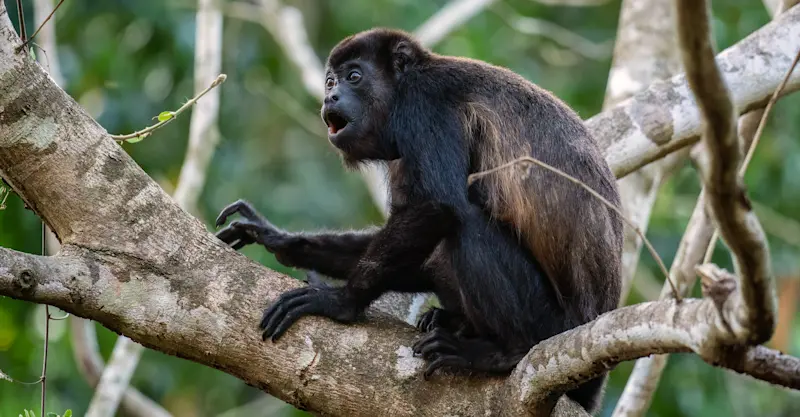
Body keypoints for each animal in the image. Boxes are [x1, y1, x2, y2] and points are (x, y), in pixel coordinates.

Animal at [215, 28, 622, 414]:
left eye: (354, 76)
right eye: (330, 82)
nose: (330, 97)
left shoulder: (425, 108)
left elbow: (436, 205)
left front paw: (340, 302)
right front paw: (278, 239)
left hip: (552, 325)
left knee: (467, 223)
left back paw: (504, 353)